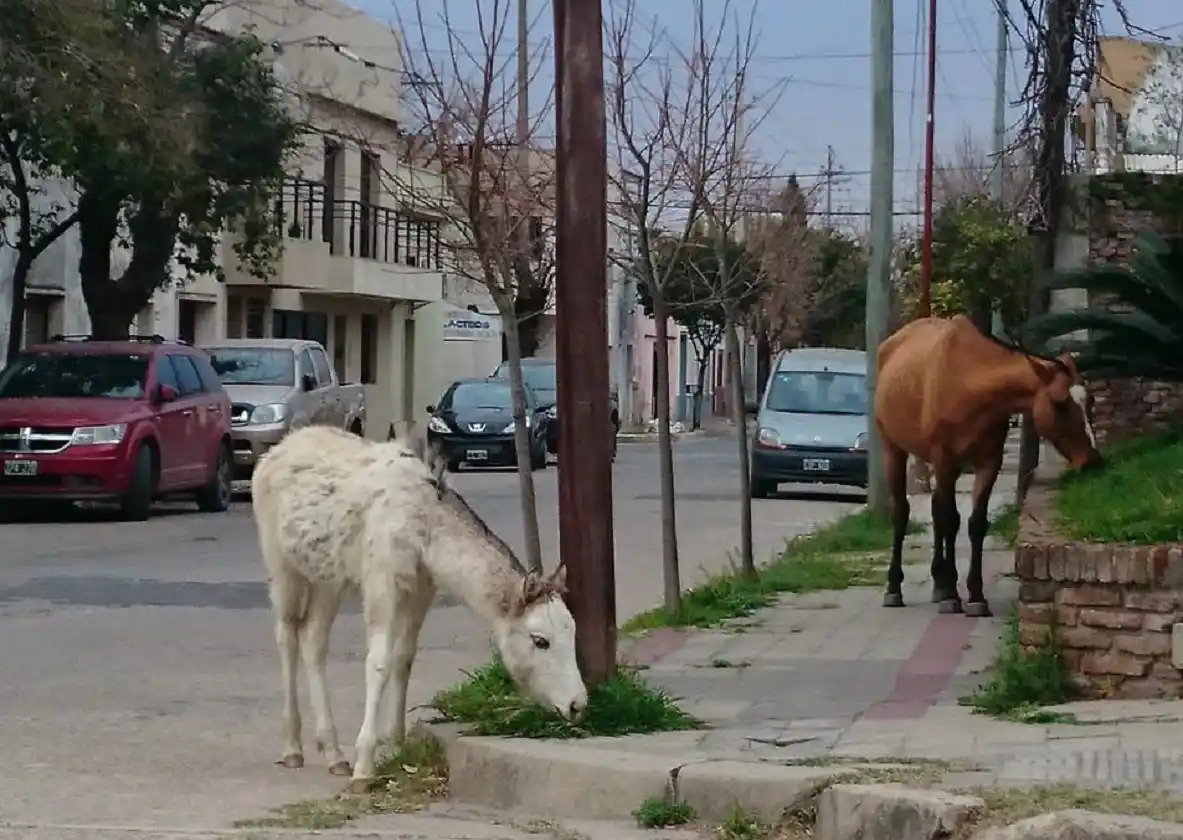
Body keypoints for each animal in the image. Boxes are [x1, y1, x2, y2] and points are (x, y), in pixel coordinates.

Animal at [874, 315, 1102, 617]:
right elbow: (951, 520)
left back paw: (938, 582)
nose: (1093, 461)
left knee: (936, 510)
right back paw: (894, 588)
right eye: (1060, 403)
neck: (969, 383)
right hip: (893, 449)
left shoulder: (988, 462)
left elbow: (975, 523)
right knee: (902, 512)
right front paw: (952, 595)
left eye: (1090, 400)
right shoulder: (944, 459)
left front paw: (974, 594)